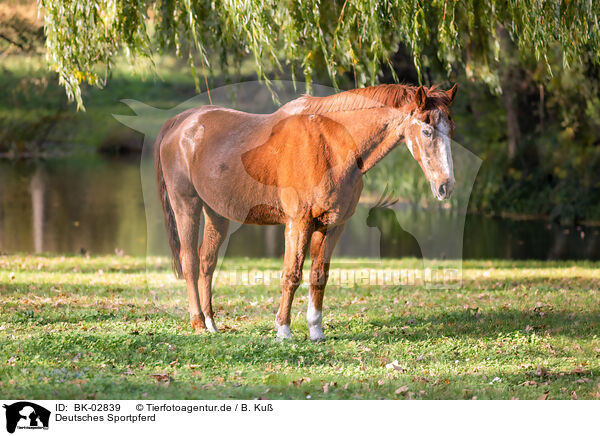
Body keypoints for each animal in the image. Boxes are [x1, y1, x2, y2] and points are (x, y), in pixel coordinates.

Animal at [152, 82, 458, 340]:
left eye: (451, 131)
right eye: (427, 131)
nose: (446, 187)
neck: (331, 144)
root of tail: (180, 122)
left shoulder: (332, 225)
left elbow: (318, 276)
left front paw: (315, 330)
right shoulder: (297, 223)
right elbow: (292, 275)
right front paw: (283, 330)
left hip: (215, 213)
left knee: (207, 262)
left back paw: (211, 322)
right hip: (186, 205)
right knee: (190, 261)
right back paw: (198, 323)